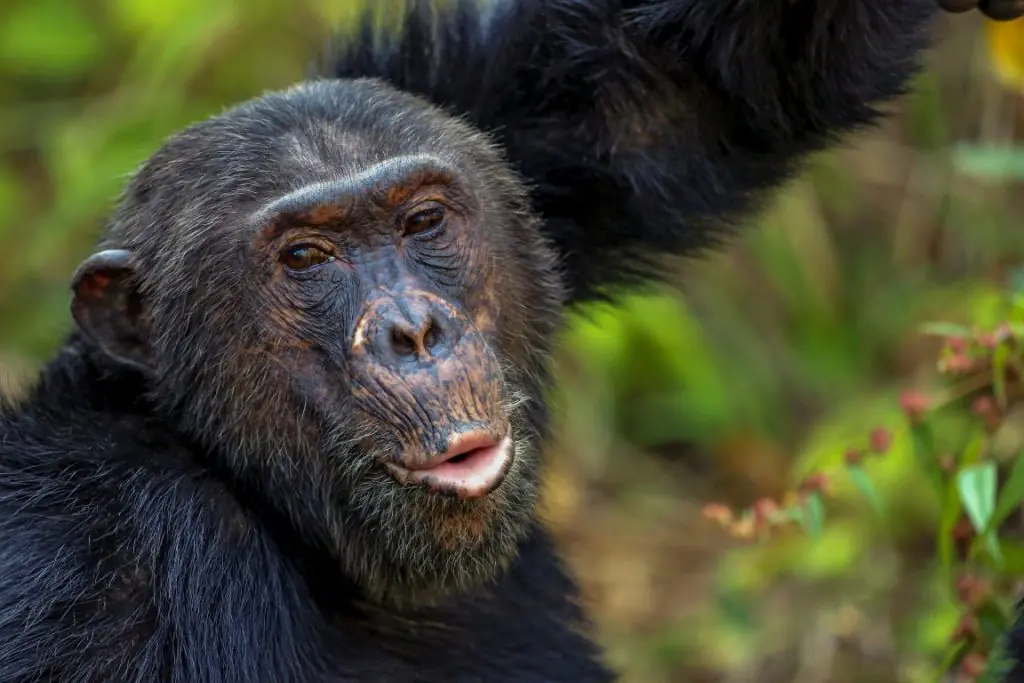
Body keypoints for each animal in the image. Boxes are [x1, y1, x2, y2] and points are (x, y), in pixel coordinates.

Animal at [1, 1, 1021, 681]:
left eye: (421, 220)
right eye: (305, 257)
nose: (413, 330)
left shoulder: (506, 130)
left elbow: (677, 78)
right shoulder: (106, 571)